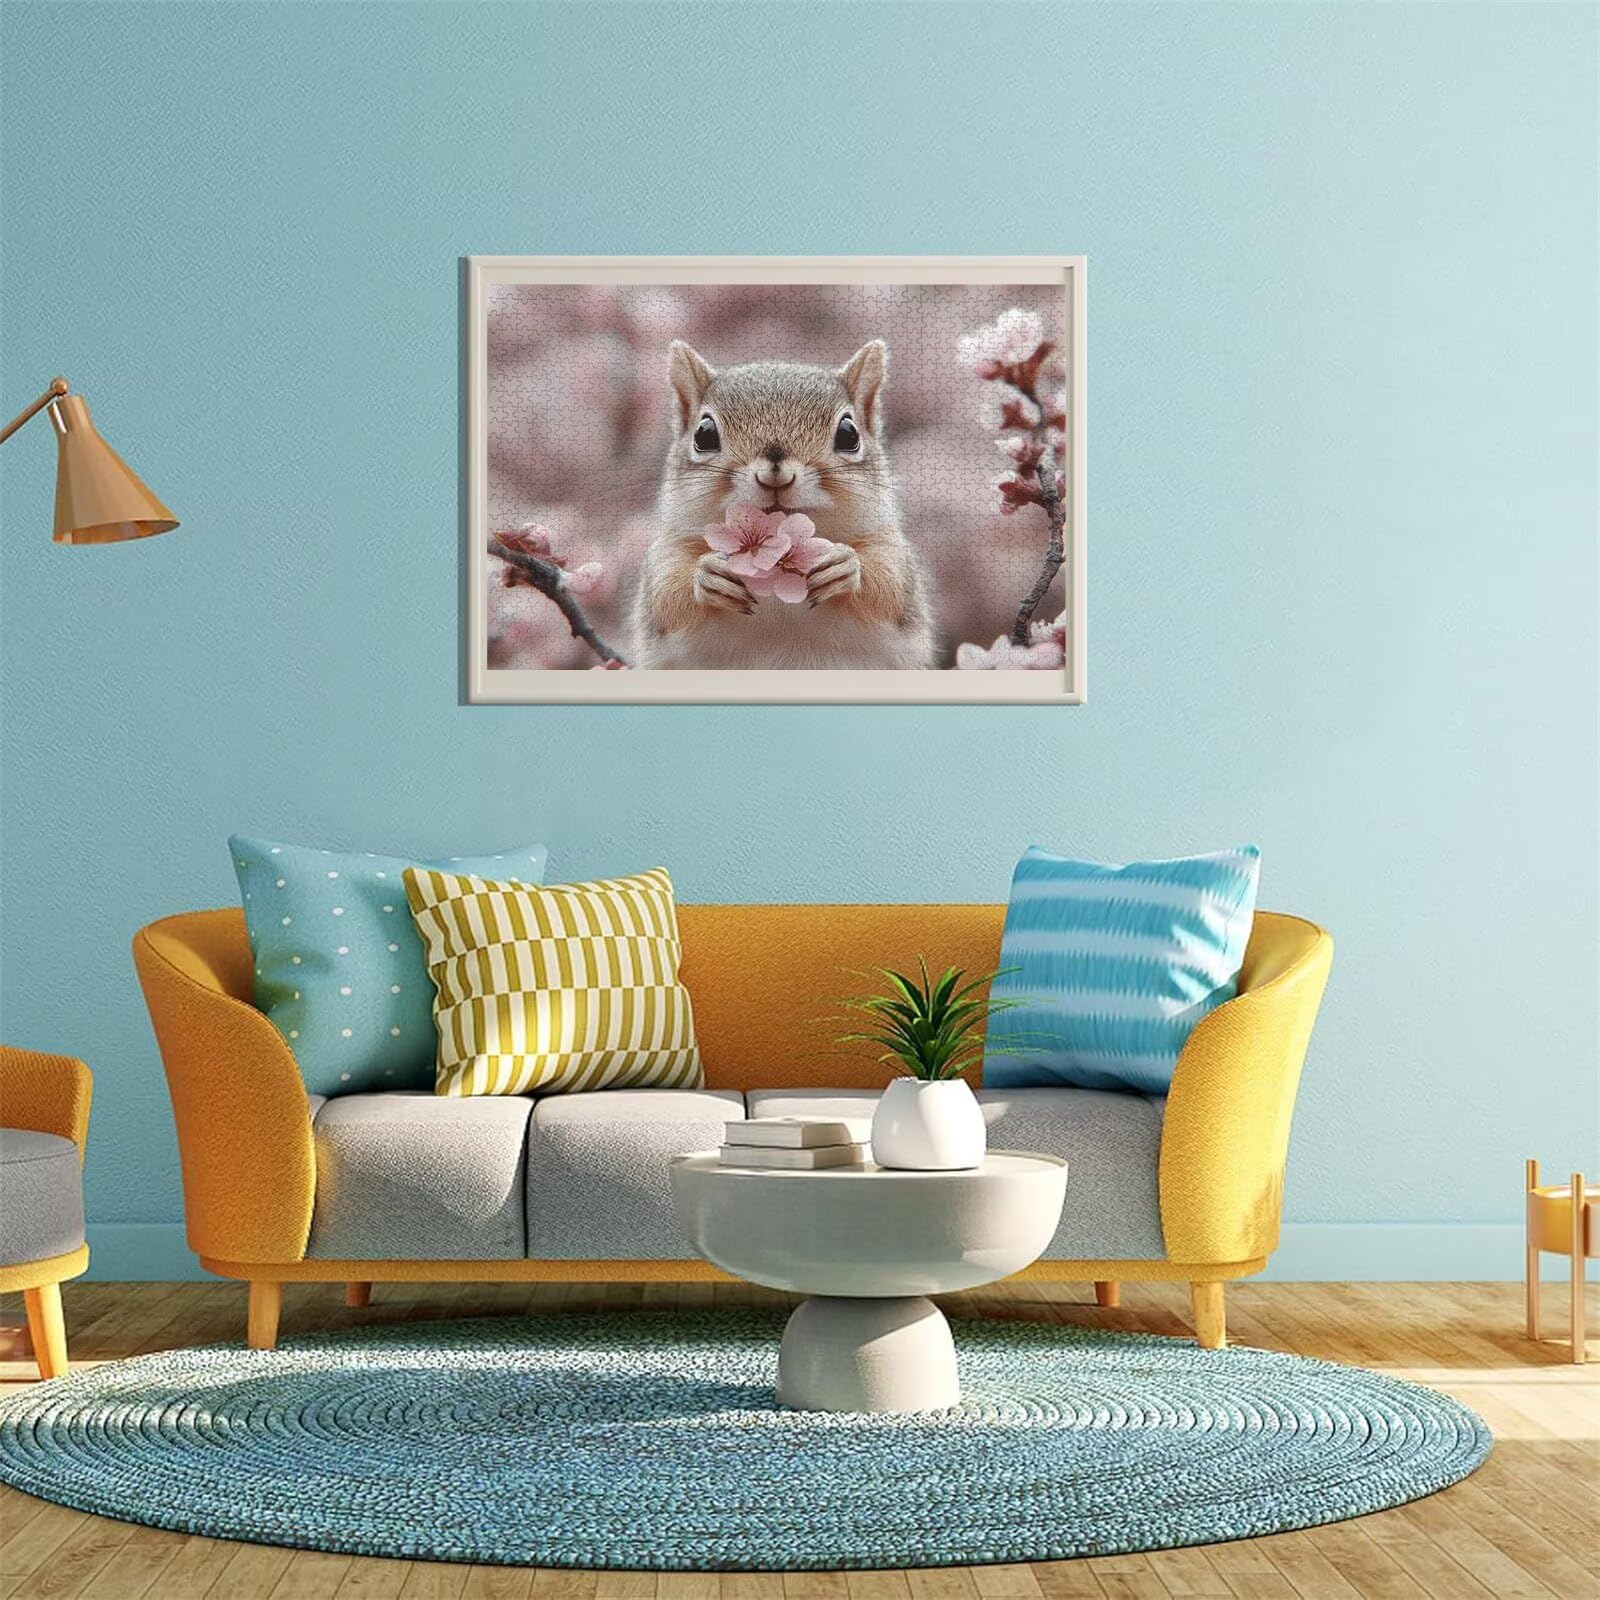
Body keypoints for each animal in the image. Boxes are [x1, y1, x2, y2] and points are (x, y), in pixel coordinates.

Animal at [630, 339, 936, 669]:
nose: (775, 472)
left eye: (849, 434)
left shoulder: (888, 546)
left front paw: (846, 565)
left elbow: (892, 587)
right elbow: (666, 597)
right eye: (704, 434)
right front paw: (708, 575)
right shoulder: (669, 551)